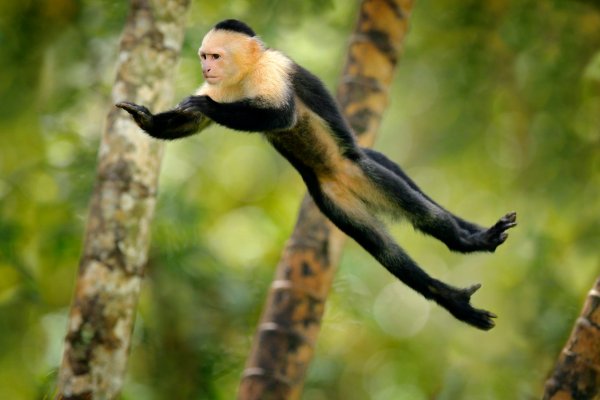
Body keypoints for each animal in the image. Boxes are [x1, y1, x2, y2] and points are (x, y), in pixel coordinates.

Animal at [117, 18, 516, 330]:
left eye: (215, 56)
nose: (206, 69)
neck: (245, 74)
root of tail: (342, 176)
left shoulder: (272, 70)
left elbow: (282, 115)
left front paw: (202, 104)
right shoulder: (223, 85)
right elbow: (189, 123)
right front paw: (145, 119)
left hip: (361, 173)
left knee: (413, 204)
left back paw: (467, 240)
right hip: (333, 200)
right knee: (385, 250)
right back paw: (449, 294)